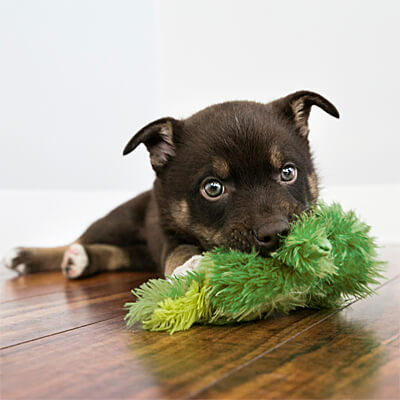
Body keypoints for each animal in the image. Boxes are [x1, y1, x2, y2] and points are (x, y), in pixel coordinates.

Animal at [3, 91, 339, 279]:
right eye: (212, 188)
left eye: (288, 172)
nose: (277, 233)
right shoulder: (167, 234)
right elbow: (179, 251)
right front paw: (190, 266)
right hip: (117, 221)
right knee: (77, 239)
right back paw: (26, 257)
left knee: (120, 255)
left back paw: (81, 261)